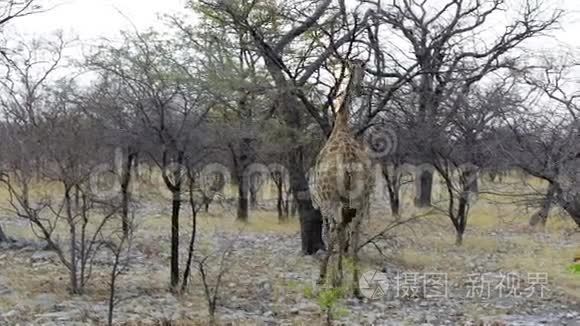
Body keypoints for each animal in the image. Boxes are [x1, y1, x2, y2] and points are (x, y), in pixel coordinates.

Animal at [310, 59, 374, 298]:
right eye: (362, 69)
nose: (359, 88)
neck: (341, 124)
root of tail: (348, 161)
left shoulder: (325, 203)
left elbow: (331, 231)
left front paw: (328, 277)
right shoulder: (351, 204)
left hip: (333, 200)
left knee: (336, 229)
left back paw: (328, 279)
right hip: (360, 200)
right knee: (353, 232)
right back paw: (355, 287)